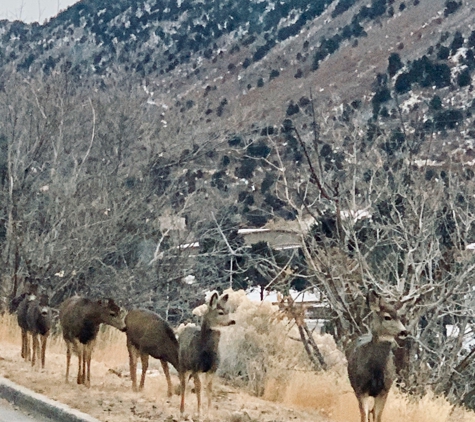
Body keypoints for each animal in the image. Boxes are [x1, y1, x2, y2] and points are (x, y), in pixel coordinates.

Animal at [346, 288, 410, 422]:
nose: (404, 332)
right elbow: (364, 415)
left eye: (400, 317)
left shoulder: (384, 390)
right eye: (387, 317)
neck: (375, 371)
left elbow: (377, 416)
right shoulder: (361, 389)